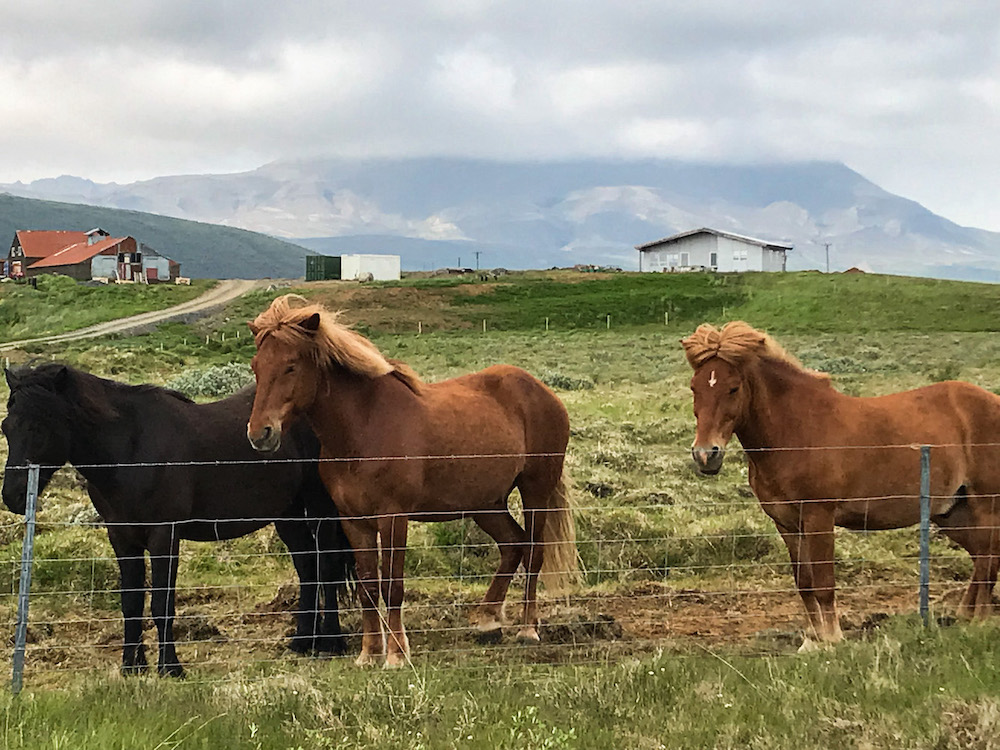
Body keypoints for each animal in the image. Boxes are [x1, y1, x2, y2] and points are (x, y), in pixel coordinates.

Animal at [0, 366, 354, 680]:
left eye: (38, 427)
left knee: (327, 566)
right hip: (286, 512)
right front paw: (131, 667)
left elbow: (162, 603)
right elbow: (131, 602)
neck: (131, 451)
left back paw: (330, 644)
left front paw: (170, 667)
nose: (12, 496)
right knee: (308, 567)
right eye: (6, 427)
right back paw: (302, 642)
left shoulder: (164, 536)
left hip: (320, 507)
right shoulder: (122, 538)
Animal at [242, 296, 580, 668]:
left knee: (533, 552)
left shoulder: (393, 518)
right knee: (512, 545)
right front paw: (369, 653)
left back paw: (527, 629)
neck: (363, 427)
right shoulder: (354, 521)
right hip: (486, 502)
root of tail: (541, 390)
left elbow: (393, 586)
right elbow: (368, 586)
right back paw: (487, 619)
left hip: (536, 490)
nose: (260, 434)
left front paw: (396, 653)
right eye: (256, 367)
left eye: (290, 366)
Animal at [684, 322, 1000, 648]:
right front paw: (811, 638)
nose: (706, 455)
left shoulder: (818, 517)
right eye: (695, 387)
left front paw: (832, 639)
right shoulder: (787, 524)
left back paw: (979, 622)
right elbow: (805, 583)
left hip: (985, 503)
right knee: (981, 556)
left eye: (733, 388)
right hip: (951, 512)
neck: (795, 430)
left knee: (989, 558)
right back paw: (965, 616)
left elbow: (824, 583)